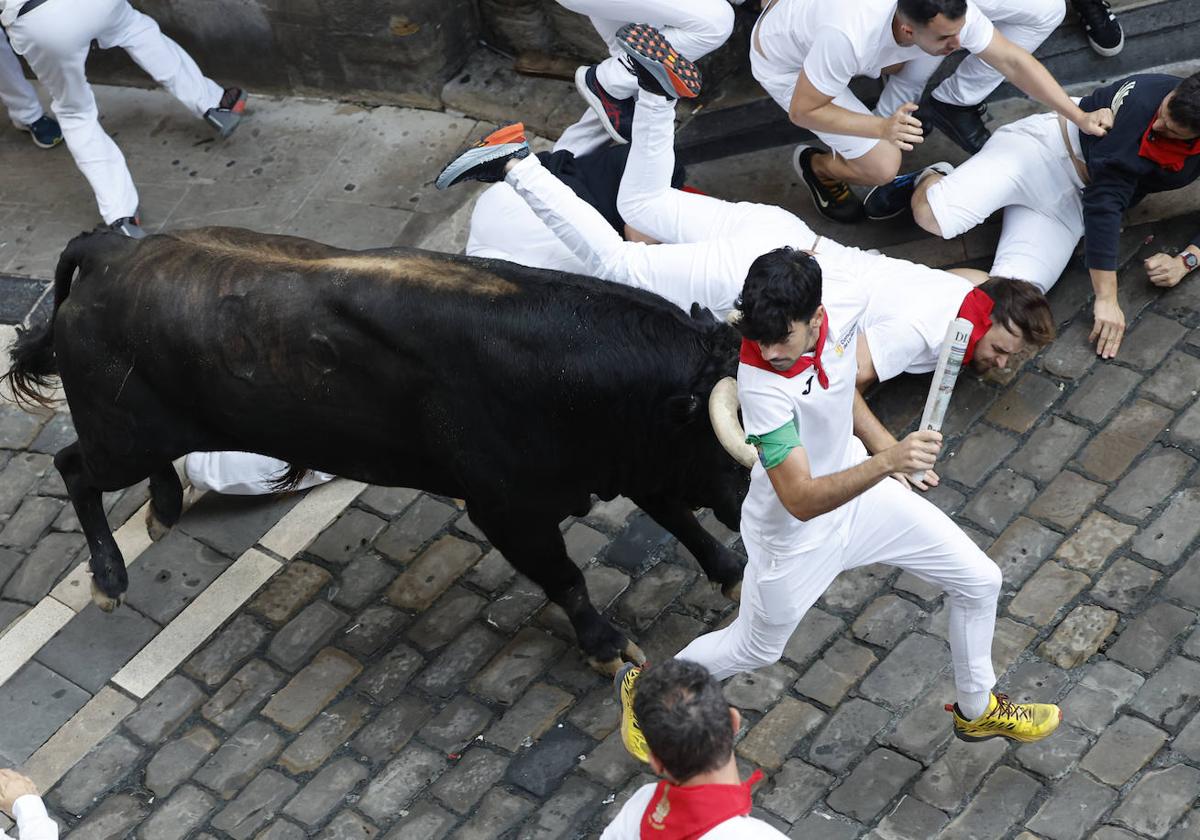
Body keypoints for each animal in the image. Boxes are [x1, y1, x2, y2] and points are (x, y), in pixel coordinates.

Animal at [2, 226, 748, 672]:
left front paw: (732, 570)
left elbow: (678, 517)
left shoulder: (637, 457)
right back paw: (109, 578)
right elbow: (566, 576)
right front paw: (607, 647)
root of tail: (110, 249)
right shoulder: (507, 510)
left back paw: (161, 508)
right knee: (73, 467)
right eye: (736, 442)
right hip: (120, 437)